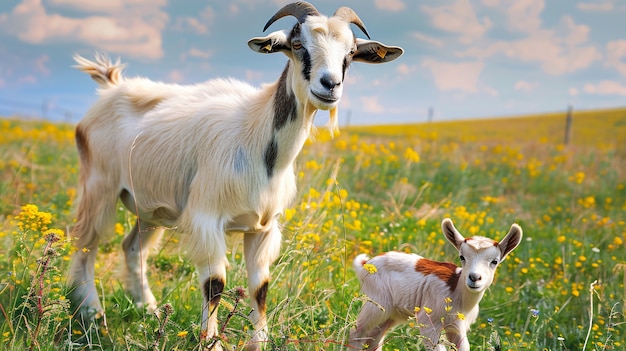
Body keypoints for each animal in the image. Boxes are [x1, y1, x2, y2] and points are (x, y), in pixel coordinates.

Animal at [67, 1, 400, 350]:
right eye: (298, 45)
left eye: (350, 52)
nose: (330, 85)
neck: (258, 140)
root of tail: (111, 86)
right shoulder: (206, 218)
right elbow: (215, 284)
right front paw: (211, 341)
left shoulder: (264, 228)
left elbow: (260, 286)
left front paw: (259, 342)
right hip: (99, 188)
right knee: (85, 243)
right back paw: (92, 314)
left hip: (150, 209)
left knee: (132, 248)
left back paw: (149, 309)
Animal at [348, 219, 520, 350]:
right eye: (462, 257)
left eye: (495, 261)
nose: (474, 277)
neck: (457, 293)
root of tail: (366, 264)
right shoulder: (429, 322)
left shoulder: (458, 328)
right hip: (377, 304)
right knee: (356, 333)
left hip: (391, 314)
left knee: (374, 340)